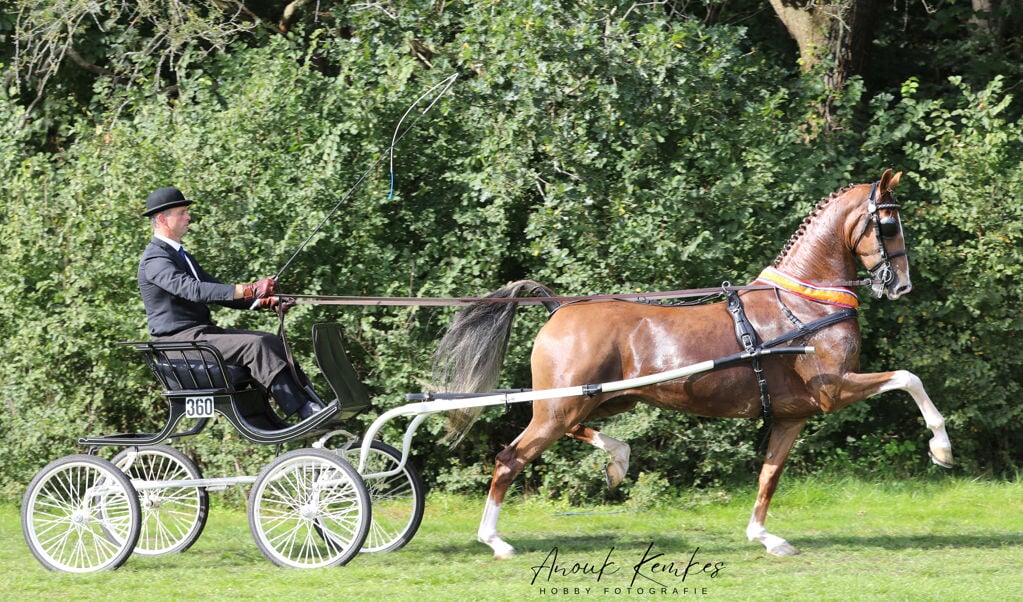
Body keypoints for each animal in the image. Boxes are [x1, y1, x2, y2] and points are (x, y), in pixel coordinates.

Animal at [431, 170, 949, 561]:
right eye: (889, 226)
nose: (901, 285)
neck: (804, 305)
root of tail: (559, 307)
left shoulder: (793, 414)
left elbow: (769, 474)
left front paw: (765, 537)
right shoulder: (835, 388)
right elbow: (909, 378)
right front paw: (941, 447)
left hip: (597, 402)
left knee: (574, 434)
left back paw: (618, 460)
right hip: (559, 409)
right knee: (509, 459)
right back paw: (495, 540)